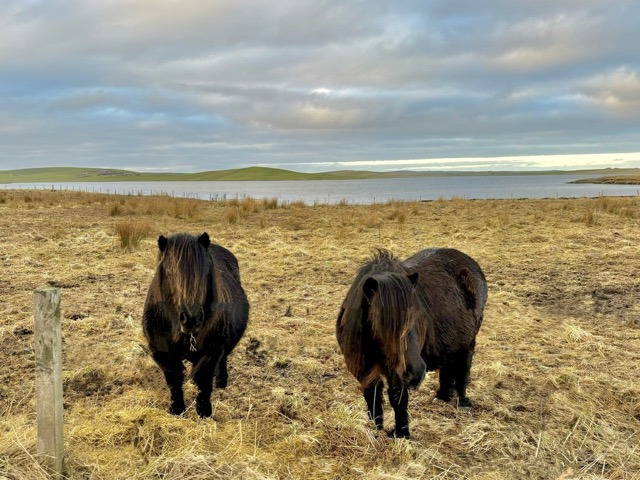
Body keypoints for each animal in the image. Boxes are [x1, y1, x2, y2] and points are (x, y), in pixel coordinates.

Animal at [142, 232, 249, 418]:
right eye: (169, 273)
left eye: (206, 272)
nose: (192, 318)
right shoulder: (162, 353)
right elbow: (174, 380)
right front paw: (177, 409)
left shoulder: (212, 351)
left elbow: (204, 381)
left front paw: (204, 413)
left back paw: (221, 381)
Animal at [336, 248, 487, 438]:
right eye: (382, 322)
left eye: (418, 316)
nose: (415, 372)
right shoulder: (363, 370)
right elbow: (373, 397)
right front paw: (376, 428)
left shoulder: (396, 373)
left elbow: (398, 400)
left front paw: (402, 434)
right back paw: (442, 397)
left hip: (468, 342)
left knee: (464, 369)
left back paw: (463, 403)